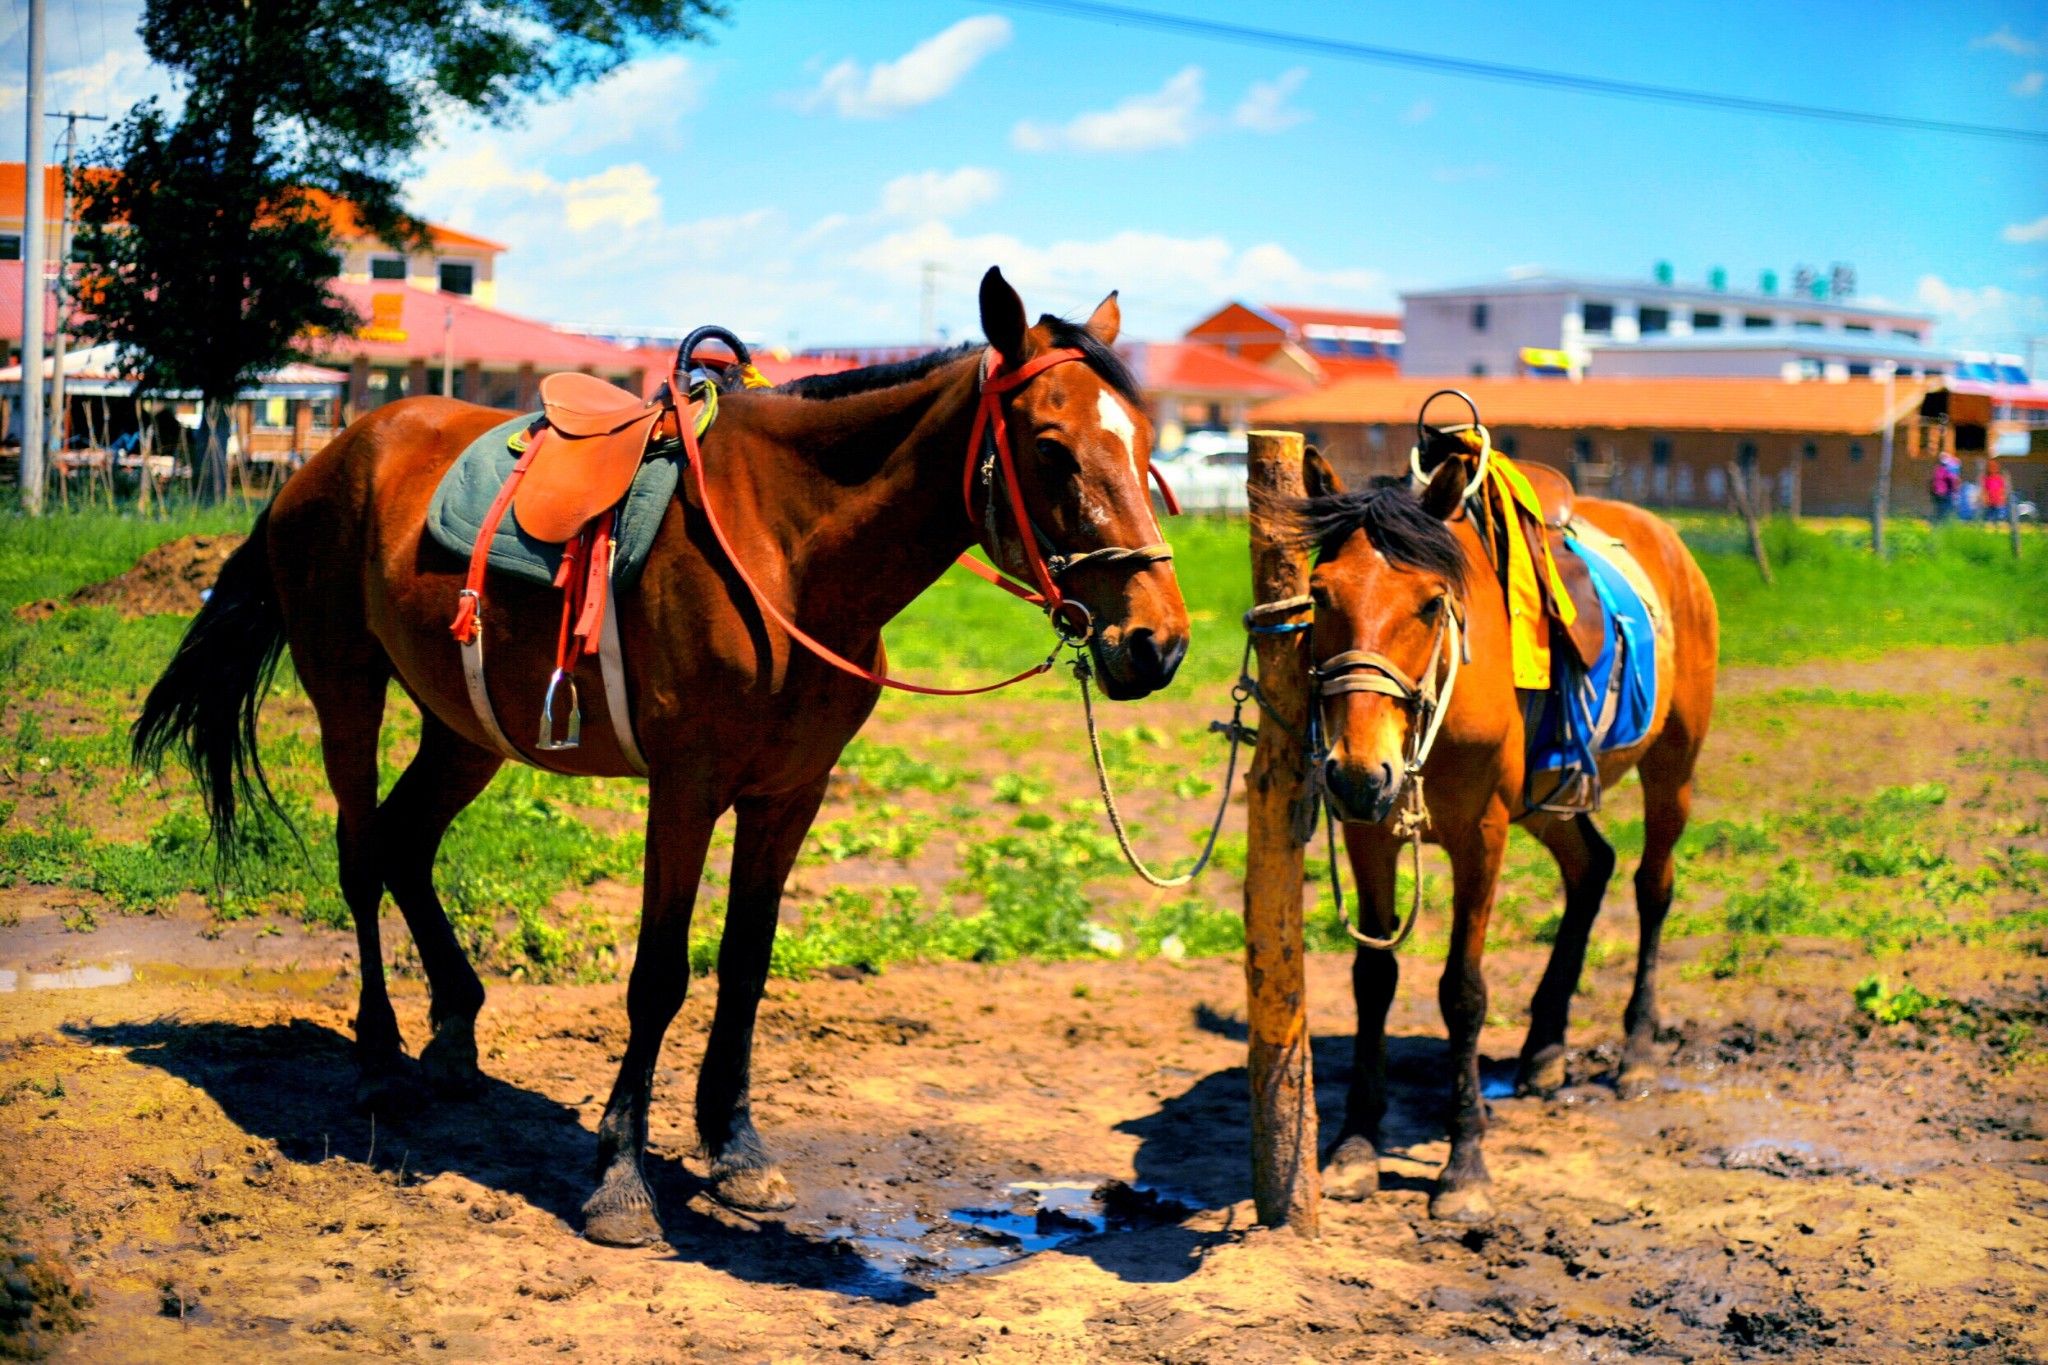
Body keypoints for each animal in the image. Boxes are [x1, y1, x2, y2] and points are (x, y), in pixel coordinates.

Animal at [136, 266, 1196, 1252]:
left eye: (1149, 446)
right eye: (1051, 448)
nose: (1158, 644)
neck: (786, 551)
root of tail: (325, 457)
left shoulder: (789, 796)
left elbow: (746, 965)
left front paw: (737, 1148)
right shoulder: (686, 790)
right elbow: (660, 976)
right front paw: (620, 1177)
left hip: (467, 727)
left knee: (405, 843)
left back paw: (454, 1032)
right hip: (347, 692)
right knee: (361, 855)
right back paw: (377, 1056)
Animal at [1294, 448, 1712, 1227]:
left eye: (1431, 603)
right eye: (1318, 595)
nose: (1360, 771)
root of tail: (1668, 539)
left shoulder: (1481, 834)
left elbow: (1462, 991)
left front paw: (1464, 1166)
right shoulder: (1371, 831)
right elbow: (1373, 979)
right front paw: (1356, 1143)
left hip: (1673, 766)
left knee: (1652, 886)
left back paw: (1638, 1048)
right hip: (1549, 799)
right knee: (1592, 867)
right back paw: (1545, 1049)